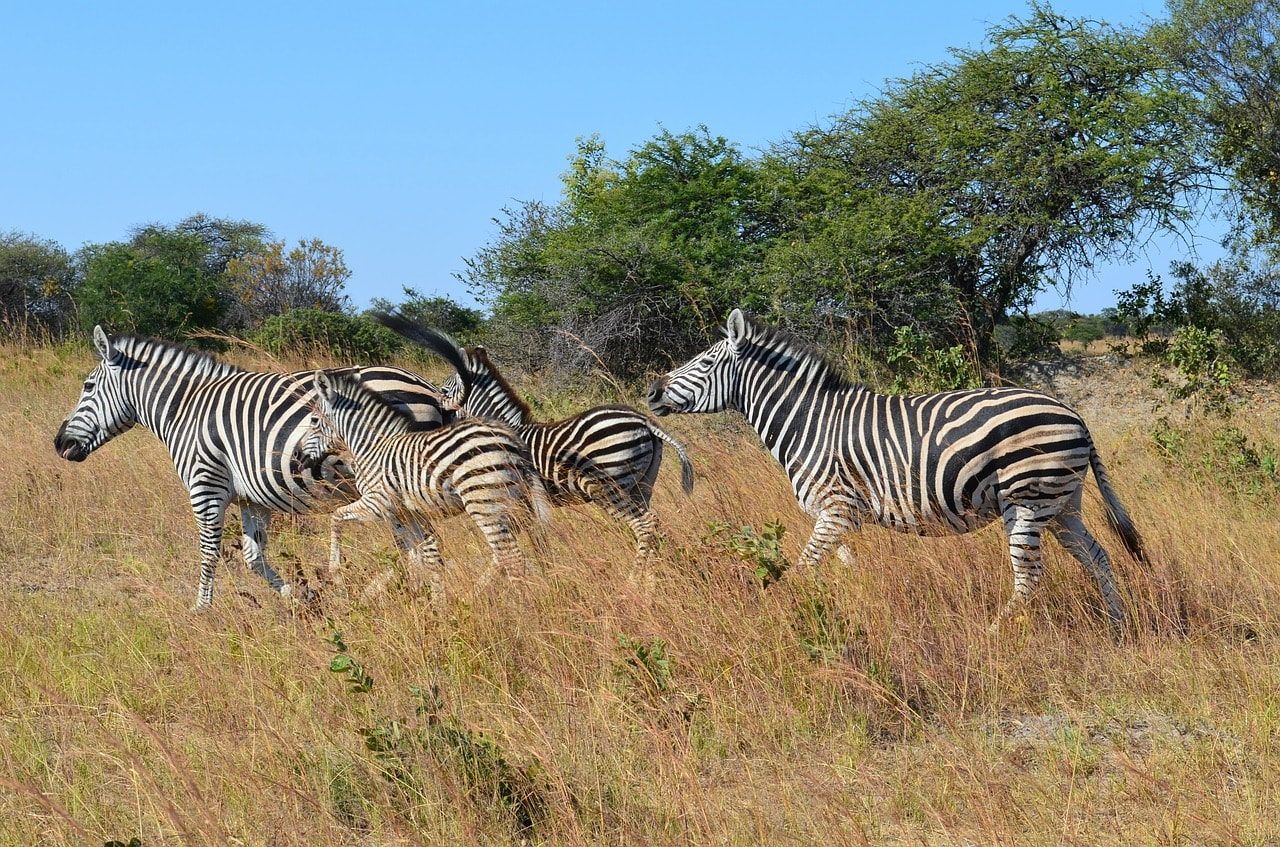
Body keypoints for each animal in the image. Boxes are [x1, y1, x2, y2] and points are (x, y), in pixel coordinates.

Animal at [55, 324, 455, 611]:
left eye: (88, 386)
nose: (60, 443)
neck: (186, 409)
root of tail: (427, 386)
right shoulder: (252, 499)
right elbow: (252, 557)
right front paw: (301, 598)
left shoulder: (206, 486)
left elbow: (209, 551)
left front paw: (201, 611)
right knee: (416, 546)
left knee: (423, 544)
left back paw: (424, 600)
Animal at [303, 368, 555, 601]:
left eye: (314, 421)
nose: (299, 457)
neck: (372, 445)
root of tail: (512, 439)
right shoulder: (408, 514)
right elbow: (425, 557)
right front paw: (432, 601)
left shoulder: (378, 503)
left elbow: (336, 516)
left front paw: (336, 571)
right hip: (513, 502)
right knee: (511, 550)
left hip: (482, 500)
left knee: (510, 555)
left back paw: (520, 604)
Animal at [371, 312, 696, 570]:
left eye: (443, 388)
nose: (436, 413)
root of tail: (644, 421)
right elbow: (537, 541)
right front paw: (548, 574)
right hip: (643, 484)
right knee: (652, 524)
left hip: (611, 484)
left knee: (644, 525)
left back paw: (637, 578)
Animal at [645, 308, 1146, 634]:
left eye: (705, 362)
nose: (650, 392)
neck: (809, 422)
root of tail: (1073, 413)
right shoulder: (837, 517)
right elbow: (844, 568)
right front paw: (855, 609)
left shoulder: (836, 508)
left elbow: (803, 568)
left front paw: (786, 617)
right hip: (1062, 504)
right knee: (1097, 557)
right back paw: (1118, 629)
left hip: (1027, 500)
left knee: (1029, 580)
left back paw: (991, 637)